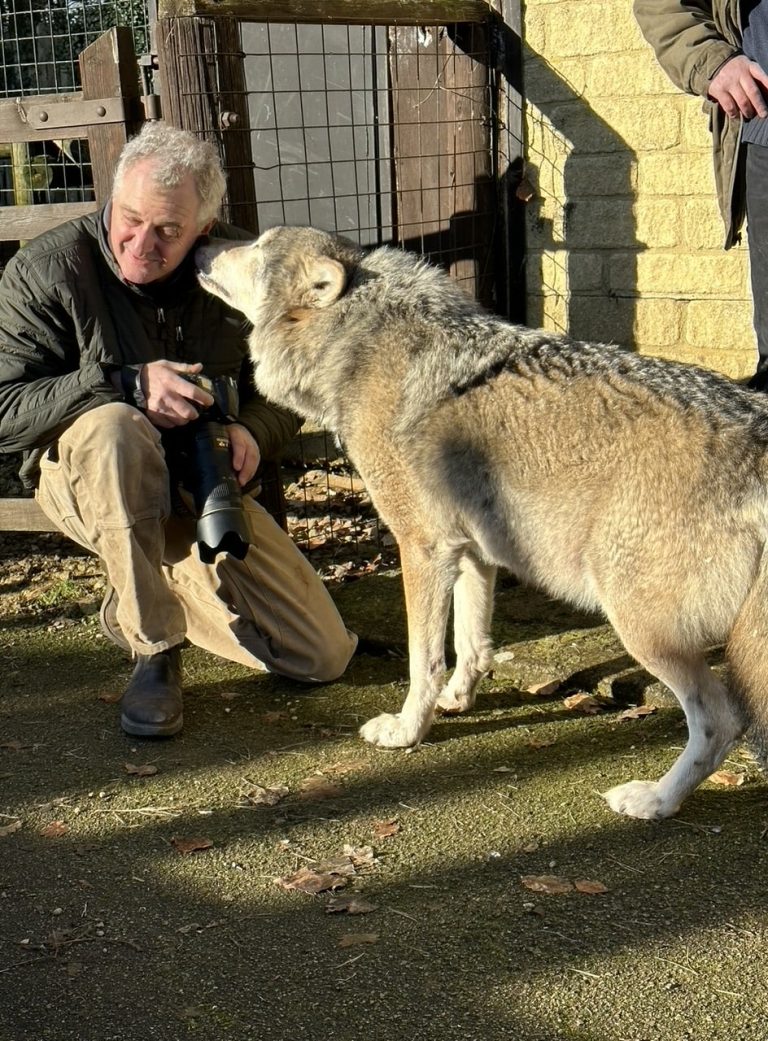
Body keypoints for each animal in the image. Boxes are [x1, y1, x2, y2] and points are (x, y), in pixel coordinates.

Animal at [196, 224, 768, 821]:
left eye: (257, 248)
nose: (202, 244)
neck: (358, 342)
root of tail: (758, 436)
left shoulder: (422, 548)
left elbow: (424, 658)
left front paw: (408, 730)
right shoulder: (473, 552)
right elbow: (471, 644)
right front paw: (457, 700)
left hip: (642, 627)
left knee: (721, 720)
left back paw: (655, 799)